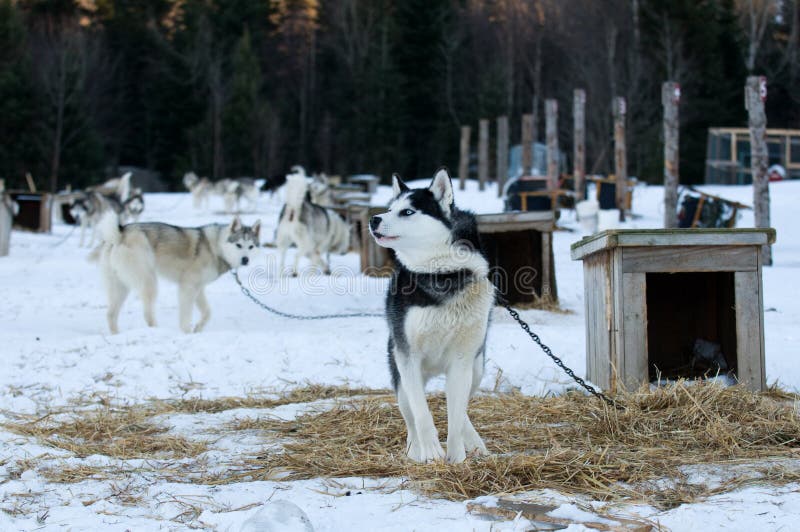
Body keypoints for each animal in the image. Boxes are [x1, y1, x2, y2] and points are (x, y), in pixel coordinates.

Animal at [91, 213, 260, 332]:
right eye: (239, 245)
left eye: (251, 246)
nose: (245, 259)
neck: (215, 247)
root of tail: (119, 234)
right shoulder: (188, 286)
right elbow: (185, 316)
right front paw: (186, 332)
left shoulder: (198, 288)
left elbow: (207, 312)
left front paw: (198, 328)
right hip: (149, 282)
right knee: (147, 314)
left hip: (120, 288)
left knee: (111, 314)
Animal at [370, 168, 494, 464]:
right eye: (389, 209)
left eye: (407, 212)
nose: (373, 219)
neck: (443, 274)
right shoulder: (408, 358)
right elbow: (422, 414)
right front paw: (429, 452)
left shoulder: (462, 361)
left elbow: (456, 416)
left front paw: (457, 457)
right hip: (400, 373)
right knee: (411, 415)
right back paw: (414, 449)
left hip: (476, 368)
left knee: (462, 410)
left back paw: (474, 442)